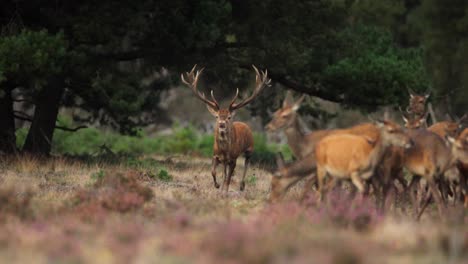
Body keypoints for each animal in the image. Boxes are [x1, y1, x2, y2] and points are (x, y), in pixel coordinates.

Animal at [182, 64, 272, 192]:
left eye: (229, 117)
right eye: (216, 116)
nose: (222, 124)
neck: (224, 151)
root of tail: (245, 124)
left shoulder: (233, 158)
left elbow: (228, 178)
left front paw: (224, 189)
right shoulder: (215, 155)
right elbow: (213, 172)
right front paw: (217, 185)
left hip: (250, 148)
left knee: (246, 164)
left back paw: (242, 185)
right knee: (226, 171)